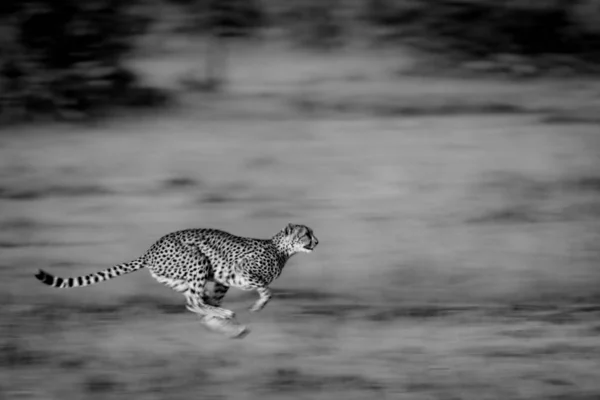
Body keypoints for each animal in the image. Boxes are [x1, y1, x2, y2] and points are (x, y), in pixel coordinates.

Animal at [34, 222, 318, 324]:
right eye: (307, 234)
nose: (317, 241)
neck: (280, 249)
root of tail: (150, 250)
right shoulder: (241, 272)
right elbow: (267, 291)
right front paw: (257, 307)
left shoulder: (225, 279)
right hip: (198, 260)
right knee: (195, 301)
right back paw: (225, 315)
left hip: (188, 277)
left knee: (193, 302)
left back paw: (221, 318)